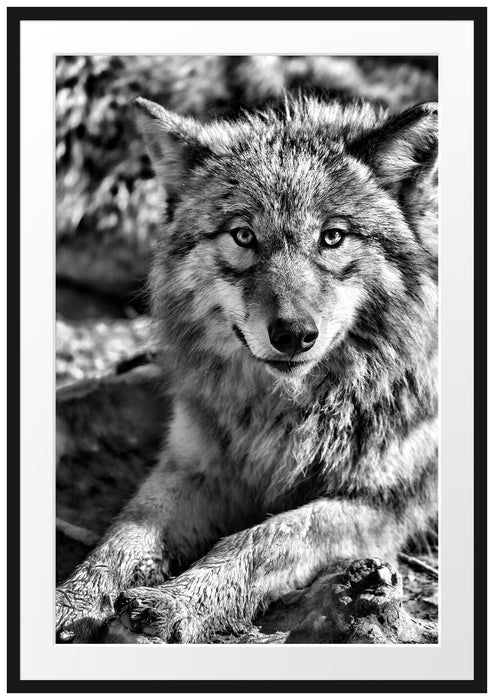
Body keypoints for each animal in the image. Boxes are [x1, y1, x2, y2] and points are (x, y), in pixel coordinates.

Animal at [56, 95, 438, 643]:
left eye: (333, 237)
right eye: (243, 235)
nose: (294, 334)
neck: (290, 410)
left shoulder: (377, 504)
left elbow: (260, 539)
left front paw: (176, 602)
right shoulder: (195, 458)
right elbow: (125, 533)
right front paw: (75, 599)